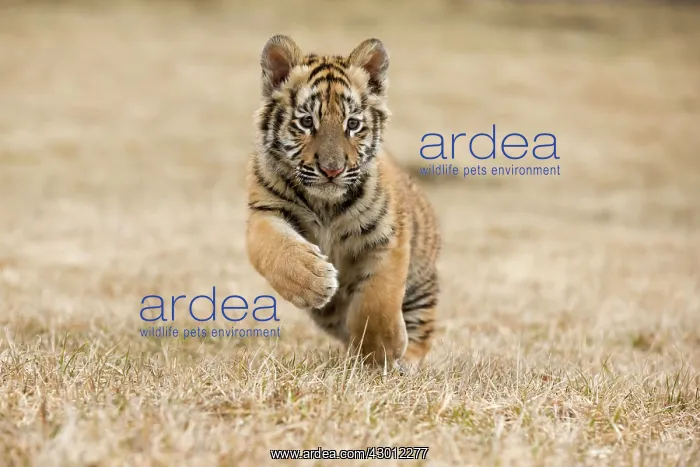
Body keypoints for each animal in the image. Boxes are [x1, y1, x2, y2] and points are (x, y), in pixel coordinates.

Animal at [245, 35, 440, 372]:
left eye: (353, 124)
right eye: (307, 122)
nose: (332, 170)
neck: (325, 204)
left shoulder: (390, 236)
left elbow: (378, 300)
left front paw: (384, 350)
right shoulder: (264, 211)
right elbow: (276, 247)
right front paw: (312, 281)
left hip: (421, 284)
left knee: (422, 331)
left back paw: (405, 360)